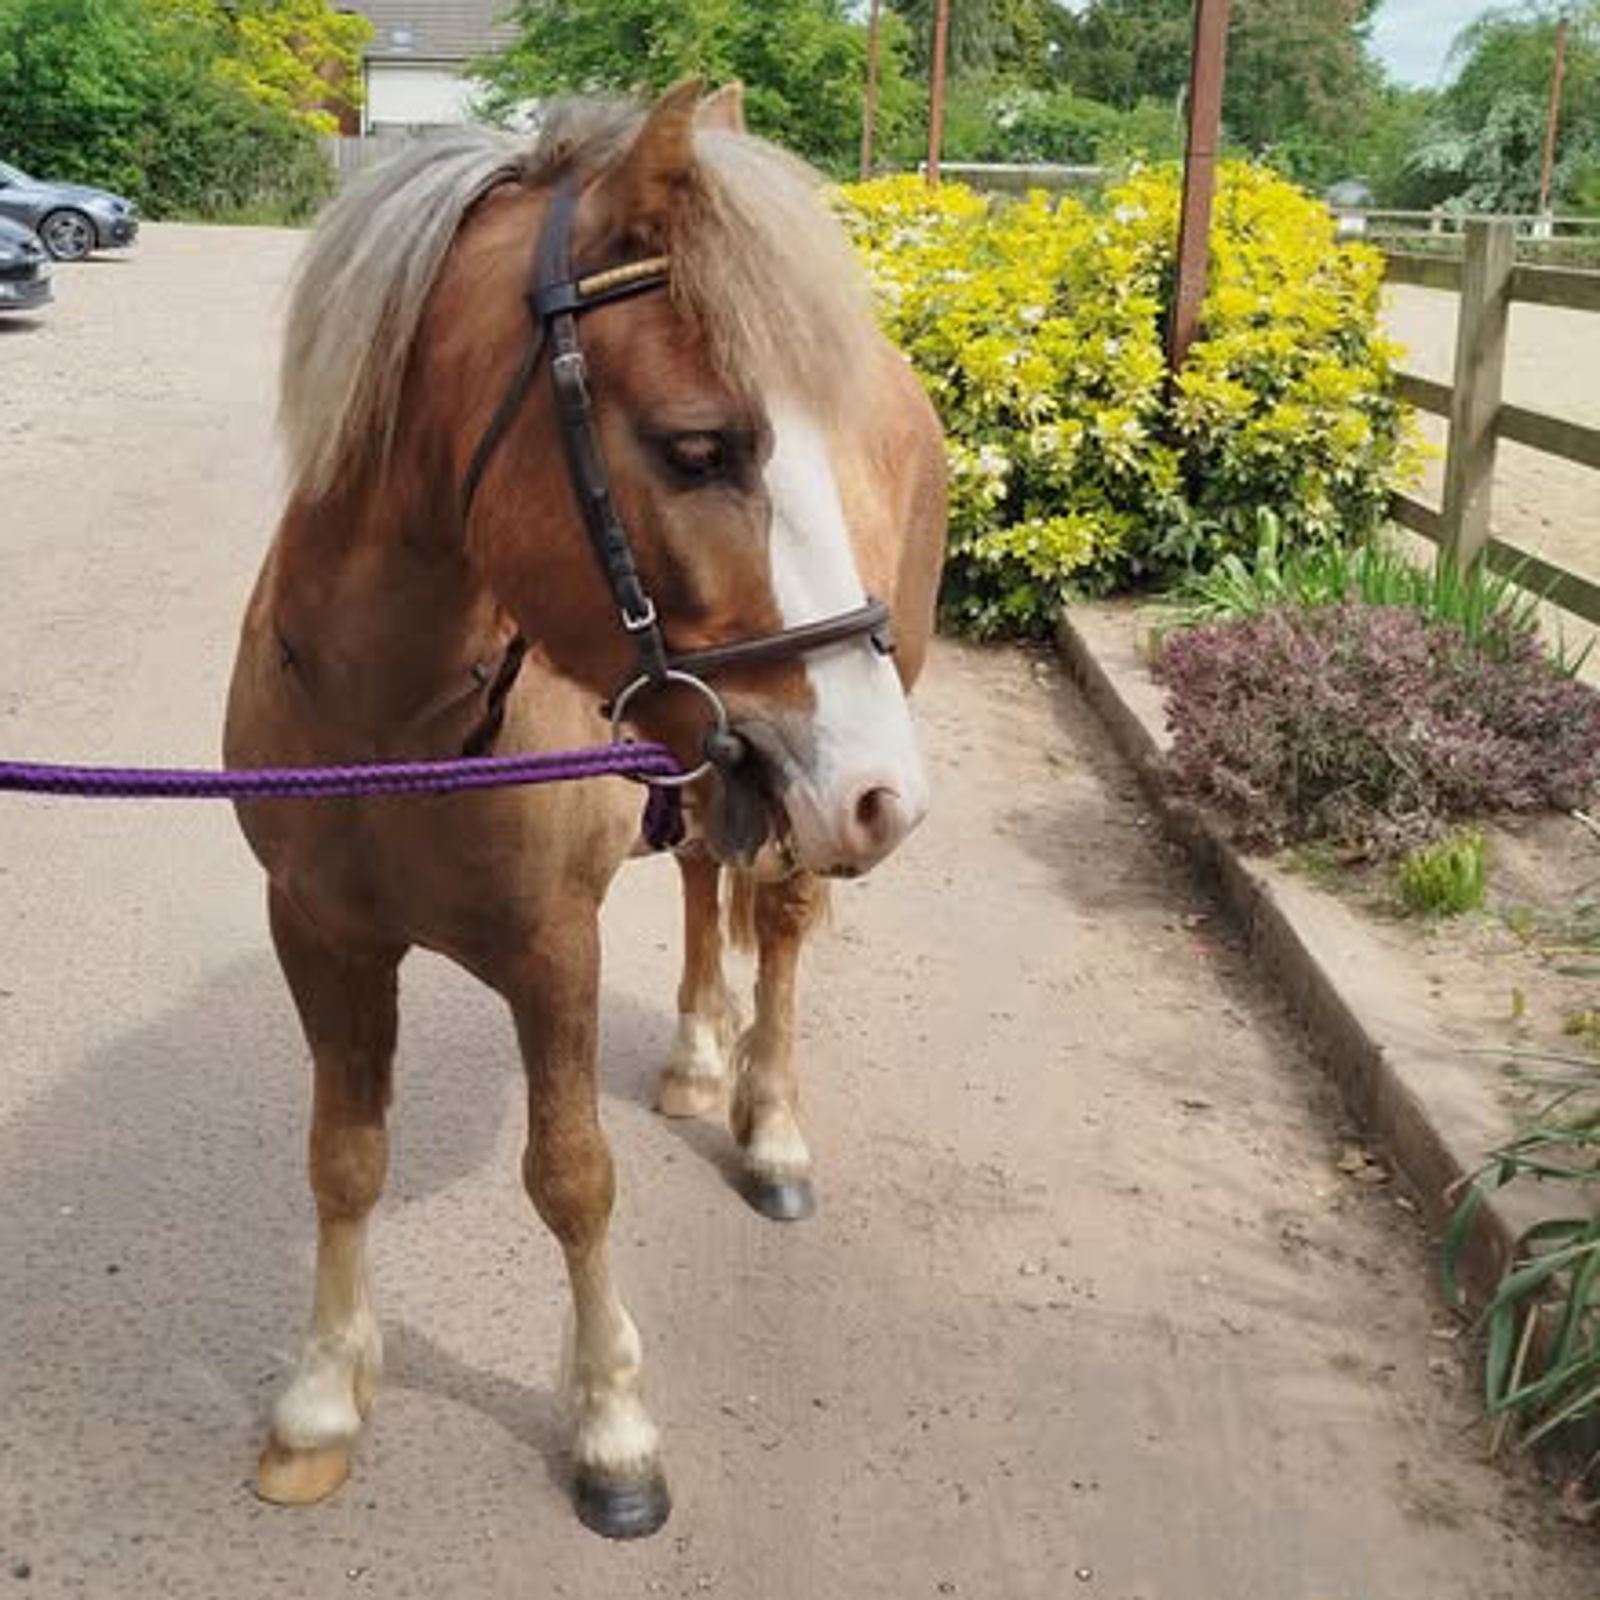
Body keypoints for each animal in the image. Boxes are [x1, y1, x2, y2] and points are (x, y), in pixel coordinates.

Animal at [223, 81, 947, 1540]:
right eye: (699, 448)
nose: (882, 791)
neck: (395, 731)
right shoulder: (318, 936)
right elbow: (343, 1153)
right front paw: (323, 1398)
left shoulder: (552, 951)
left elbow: (571, 1178)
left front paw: (613, 1427)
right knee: (704, 884)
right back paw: (697, 1054)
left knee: (781, 929)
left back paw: (768, 1123)